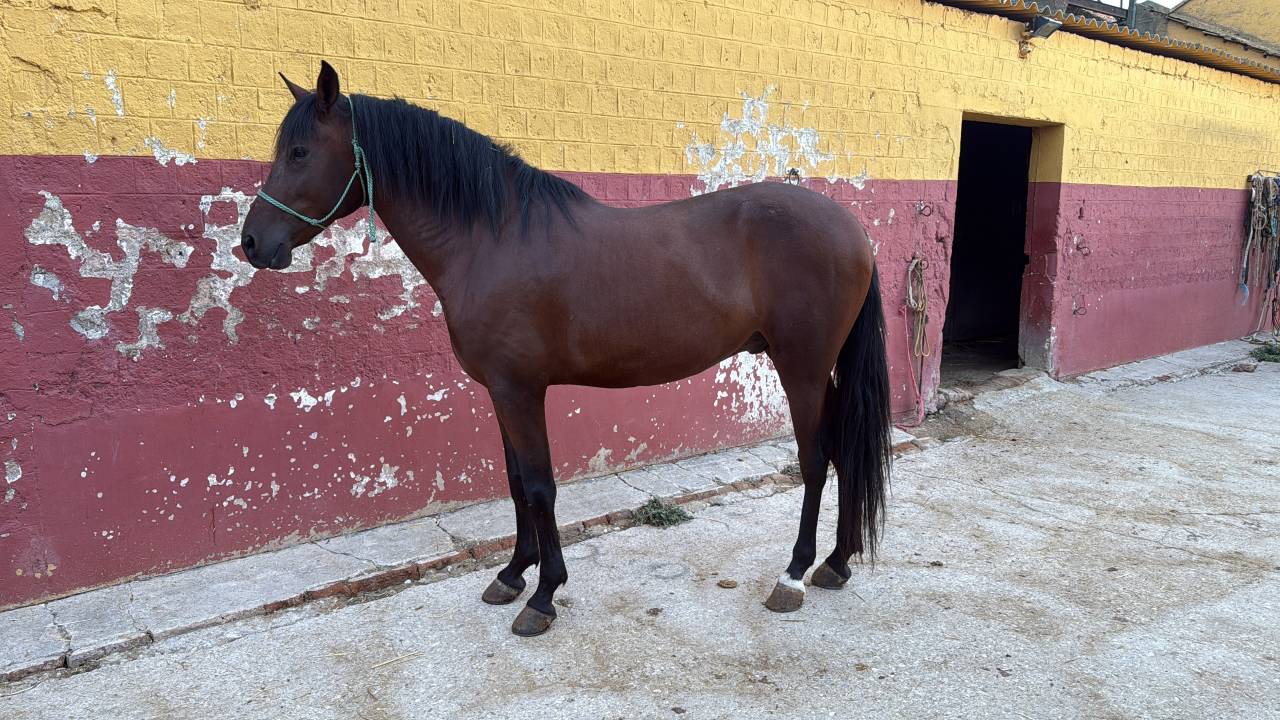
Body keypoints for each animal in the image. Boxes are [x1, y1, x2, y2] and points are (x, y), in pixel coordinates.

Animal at [241, 61, 891, 637]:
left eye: (299, 153)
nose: (252, 243)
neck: (492, 237)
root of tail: (853, 228)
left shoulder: (521, 391)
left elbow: (539, 486)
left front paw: (544, 594)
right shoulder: (501, 392)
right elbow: (514, 482)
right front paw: (512, 574)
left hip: (802, 368)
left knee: (817, 459)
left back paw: (794, 575)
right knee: (844, 452)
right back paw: (837, 563)